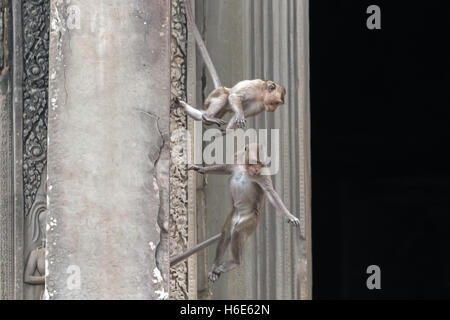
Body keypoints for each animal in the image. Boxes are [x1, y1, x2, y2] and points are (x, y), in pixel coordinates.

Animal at [177, 0, 288, 129]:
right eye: (276, 102)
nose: (274, 108)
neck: (261, 94)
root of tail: (221, 86)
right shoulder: (253, 87)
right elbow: (234, 96)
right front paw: (239, 114)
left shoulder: (259, 106)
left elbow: (235, 119)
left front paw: (229, 129)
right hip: (212, 97)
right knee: (225, 96)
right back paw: (208, 116)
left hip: (219, 109)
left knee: (202, 116)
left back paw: (188, 108)